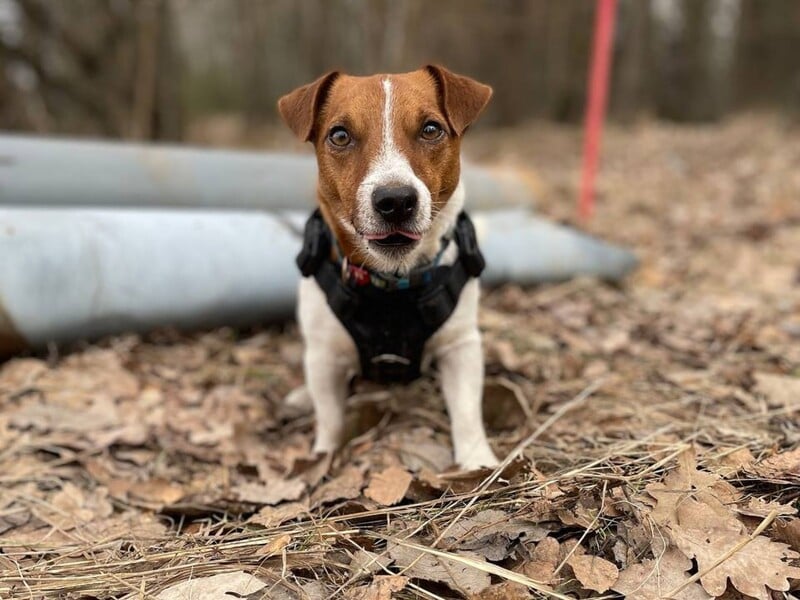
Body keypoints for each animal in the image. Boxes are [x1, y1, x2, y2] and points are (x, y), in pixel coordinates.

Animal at [278, 64, 496, 468]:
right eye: (340, 135)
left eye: (431, 129)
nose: (395, 201)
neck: (393, 283)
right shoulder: (323, 355)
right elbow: (330, 418)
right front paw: (324, 458)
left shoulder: (461, 345)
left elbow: (466, 411)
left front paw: (478, 461)